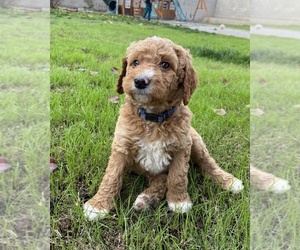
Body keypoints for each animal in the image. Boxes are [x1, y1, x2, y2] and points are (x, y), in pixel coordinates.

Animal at [84, 36, 244, 220]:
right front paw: (98, 205)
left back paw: (230, 182)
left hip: (195, 141)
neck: (154, 118)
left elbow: (178, 176)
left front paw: (179, 201)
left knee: (208, 163)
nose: (140, 81)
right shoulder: (122, 146)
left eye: (165, 64)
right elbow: (112, 175)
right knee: (160, 179)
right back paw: (147, 199)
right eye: (135, 62)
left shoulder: (182, 147)